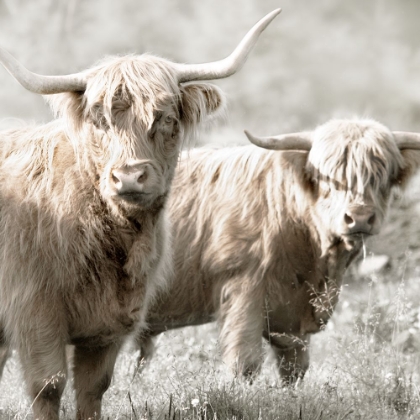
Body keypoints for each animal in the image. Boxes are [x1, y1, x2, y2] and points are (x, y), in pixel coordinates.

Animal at [0, 9, 280, 416]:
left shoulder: (109, 326)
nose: (130, 176)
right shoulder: (33, 312)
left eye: (165, 118)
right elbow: (48, 387)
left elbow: (93, 389)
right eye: (99, 119)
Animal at [138, 118, 420, 384]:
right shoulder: (244, 291)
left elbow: (294, 369)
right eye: (326, 178)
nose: (359, 218)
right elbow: (245, 363)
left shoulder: (293, 318)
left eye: (382, 177)